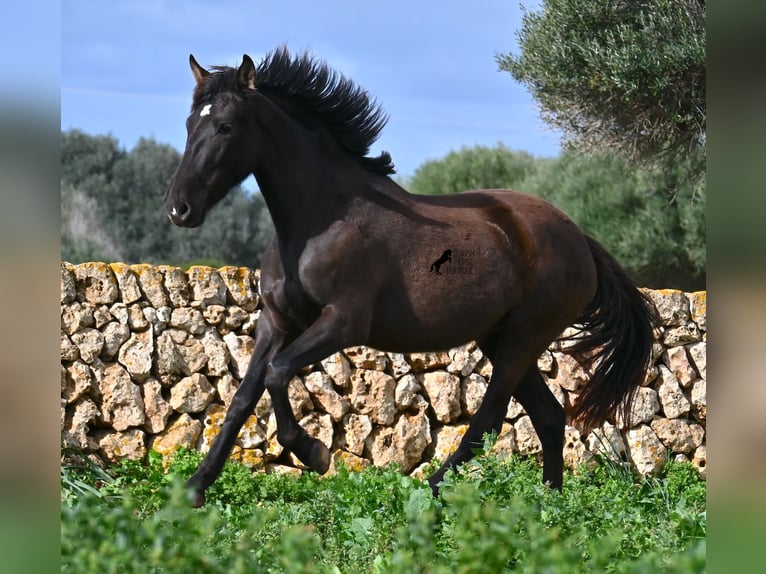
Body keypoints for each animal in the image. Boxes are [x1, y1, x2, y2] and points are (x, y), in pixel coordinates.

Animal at [165, 48, 656, 508]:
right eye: (189, 124)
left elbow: (277, 373)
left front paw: (314, 452)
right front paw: (195, 488)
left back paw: (431, 492)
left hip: (524, 336)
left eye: (226, 126)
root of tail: (580, 239)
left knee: (489, 418)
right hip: (499, 337)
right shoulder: (278, 321)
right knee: (549, 418)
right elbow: (242, 398)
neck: (319, 219)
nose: (178, 208)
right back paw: (547, 507)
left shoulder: (343, 323)